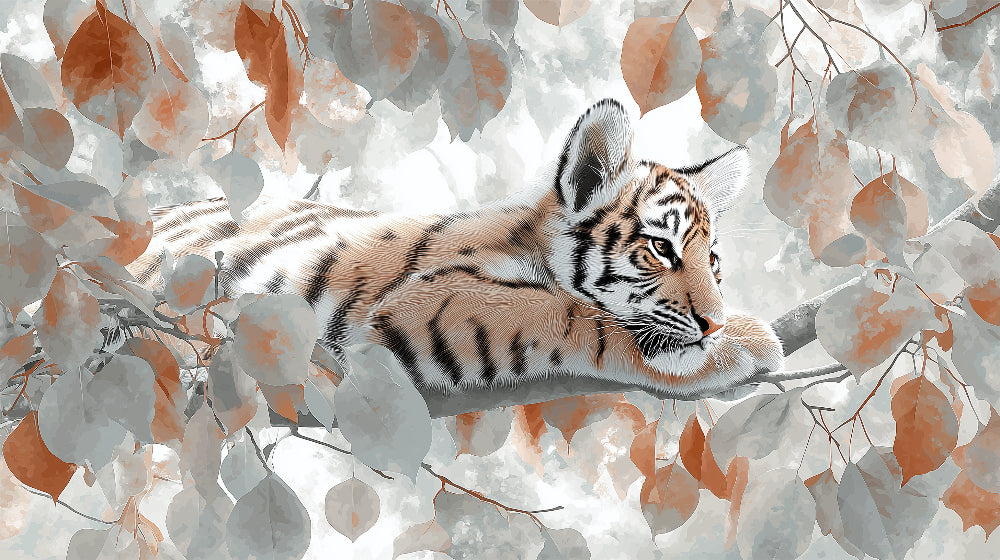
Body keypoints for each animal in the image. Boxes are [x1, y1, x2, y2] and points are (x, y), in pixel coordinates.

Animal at [128, 99, 784, 400]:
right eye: (660, 249)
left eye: (712, 262)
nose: (714, 322)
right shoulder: (428, 302)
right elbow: (571, 314)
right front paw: (742, 343)